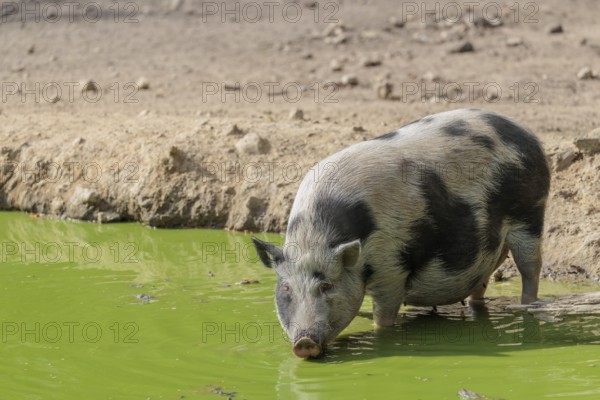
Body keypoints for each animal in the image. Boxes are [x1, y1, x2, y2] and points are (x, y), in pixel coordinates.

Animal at [251, 108, 552, 358]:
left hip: (530, 213)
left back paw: (528, 306)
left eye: (327, 285)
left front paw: (382, 338)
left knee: (531, 268)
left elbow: (384, 318)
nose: (304, 343)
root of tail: (526, 133)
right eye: (286, 288)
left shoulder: (392, 269)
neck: (315, 239)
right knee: (481, 283)